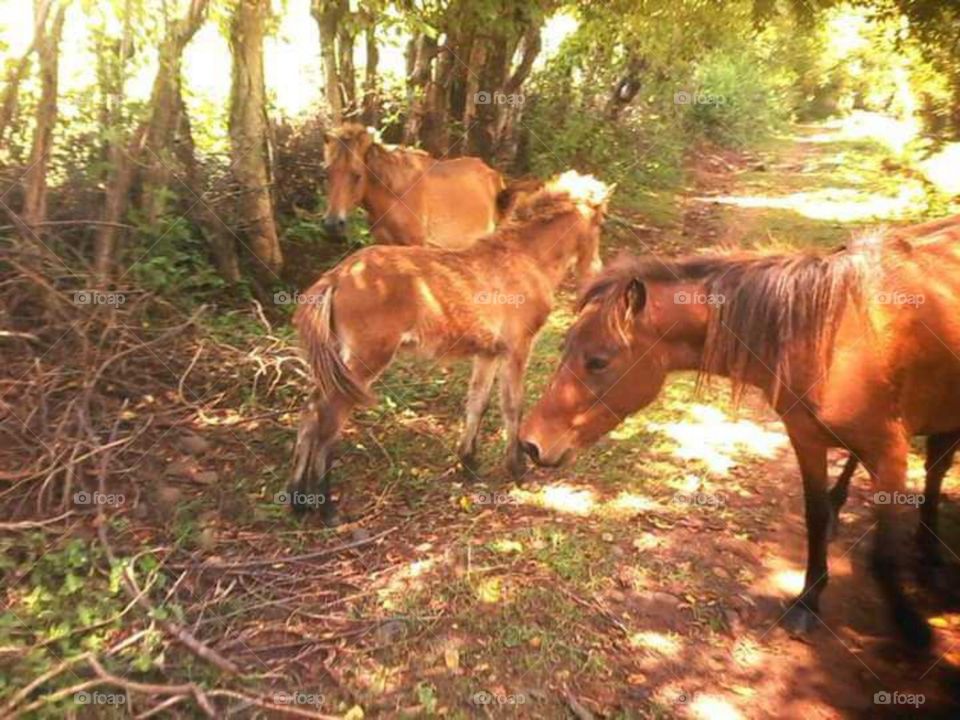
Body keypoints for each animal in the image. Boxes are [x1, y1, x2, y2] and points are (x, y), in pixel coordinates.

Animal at [288, 174, 612, 524]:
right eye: (600, 222)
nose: (596, 272)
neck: (526, 259)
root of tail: (337, 276)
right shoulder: (517, 348)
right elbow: (512, 405)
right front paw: (517, 468)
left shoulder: (488, 354)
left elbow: (477, 403)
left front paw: (469, 463)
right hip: (364, 361)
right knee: (328, 422)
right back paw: (326, 507)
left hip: (336, 362)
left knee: (309, 410)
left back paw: (298, 500)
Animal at [520, 222, 960, 648]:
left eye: (598, 361)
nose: (529, 442)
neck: (832, 339)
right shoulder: (807, 440)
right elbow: (815, 517)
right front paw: (808, 601)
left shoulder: (890, 454)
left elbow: (883, 555)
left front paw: (911, 626)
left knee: (935, 472)